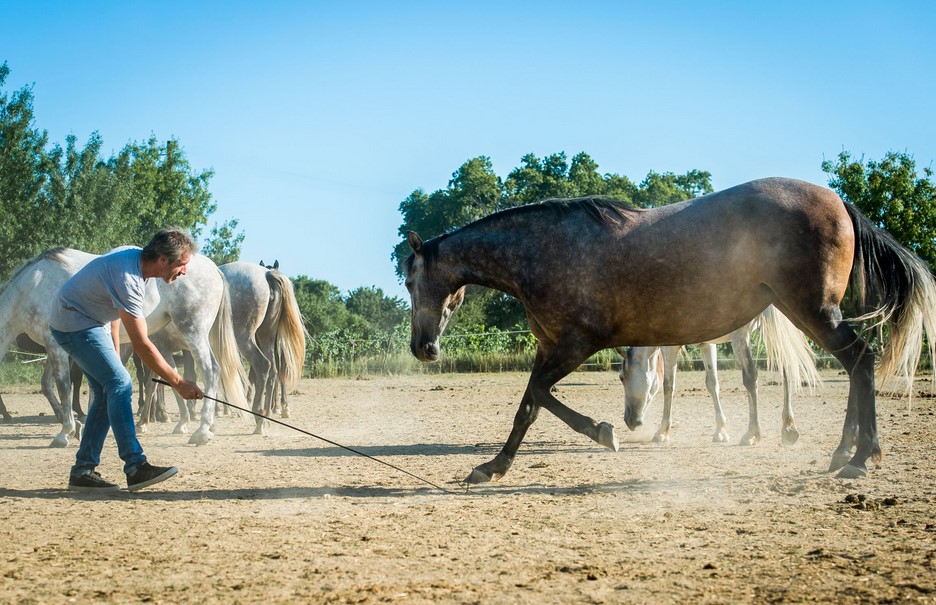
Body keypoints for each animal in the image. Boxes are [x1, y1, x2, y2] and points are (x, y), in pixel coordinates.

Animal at [220, 260, 306, 430]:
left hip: (246, 339)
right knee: (271, 370)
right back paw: (265, 412)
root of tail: (267, 276)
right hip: (264, 339)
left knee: (267, 368)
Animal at [620, 306, 820, 444]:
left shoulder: (670, 348)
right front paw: (721, 431)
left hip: (741, 336)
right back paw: (788, 427)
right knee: (787, 369)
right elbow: (712, 384)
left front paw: (662, 432)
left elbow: (669, 386)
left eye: (621, 377)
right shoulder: (707, 345)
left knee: (751, 377)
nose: (629, 421)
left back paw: (752, 434)